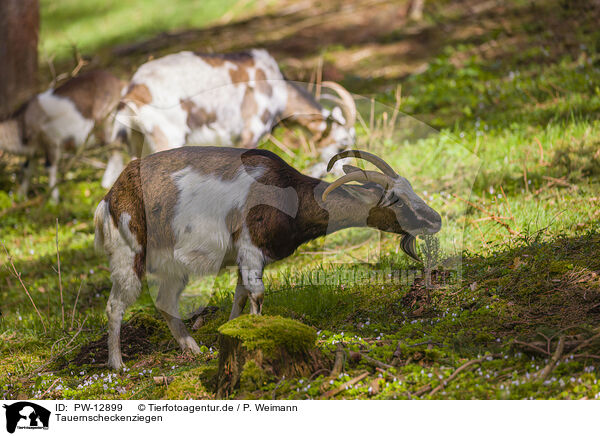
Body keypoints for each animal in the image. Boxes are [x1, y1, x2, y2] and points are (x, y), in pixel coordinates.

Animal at [0, 70, 125, 202]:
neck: (22, 123)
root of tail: (119, 83)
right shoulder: (34, 151)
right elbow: (27, 169)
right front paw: (19, 197)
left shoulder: (51, 141)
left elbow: (50, 167)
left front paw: (53, 200)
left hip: (107, 119)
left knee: (113, 148)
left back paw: (106, 183)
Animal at [94, 146, 440, 368]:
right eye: (395, 200)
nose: (435, 220)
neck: (290, 194)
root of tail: (109, 198)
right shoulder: (250, 246)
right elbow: (257, 294)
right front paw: (259, 336)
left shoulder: (244, 257)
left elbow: (240, 295)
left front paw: (230, 331)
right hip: (128, 252)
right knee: (115, 305)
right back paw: (117, 365)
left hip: (172, 266)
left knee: (165, 302)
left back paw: (194, 350)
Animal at [103, 49, 356, 187]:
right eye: (342, 144)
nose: (345, 173)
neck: (279, 89)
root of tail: (133, 92)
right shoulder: (250, 132)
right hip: (168, 137)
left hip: (138, 145)